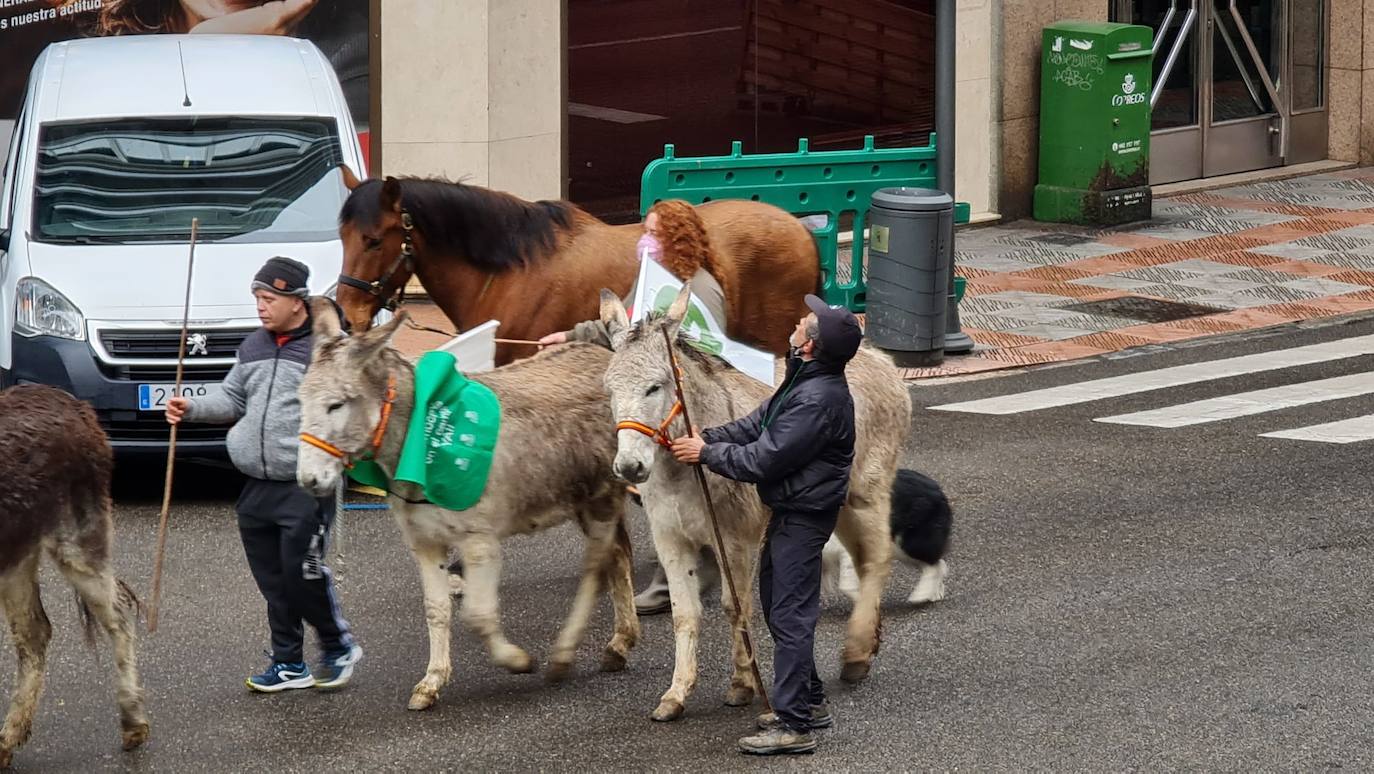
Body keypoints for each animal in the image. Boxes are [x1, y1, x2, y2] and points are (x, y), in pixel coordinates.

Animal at [818, 470, 950, 607]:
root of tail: (936, 488)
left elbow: (846, 586)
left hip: (910, 544)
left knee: (934, 565)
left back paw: (921, 595)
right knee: (939, 564)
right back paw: (935, 593)